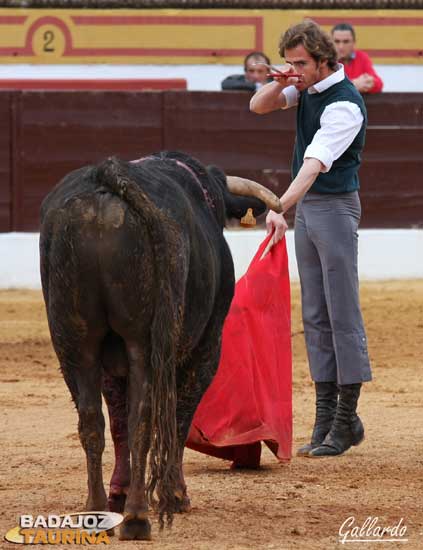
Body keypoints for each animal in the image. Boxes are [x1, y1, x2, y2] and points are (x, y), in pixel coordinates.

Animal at [39, 151, 282, 544]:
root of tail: (107, 179)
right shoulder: (205, 349)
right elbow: (179, 415)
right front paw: (177, 495)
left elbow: (118, 421)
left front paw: (118, 492)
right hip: (147, 344)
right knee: (145, 417)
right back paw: (138, 517)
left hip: (74, 342)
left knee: (93, 419)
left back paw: (97, 511)